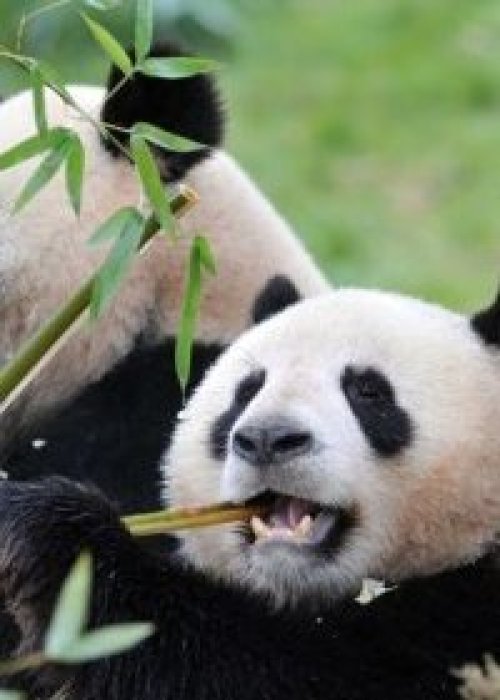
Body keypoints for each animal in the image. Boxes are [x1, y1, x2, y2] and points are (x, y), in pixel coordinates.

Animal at [0, 285, 499, 700]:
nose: (267, 438)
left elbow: (260, 672)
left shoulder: (461, 627)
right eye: (247, 391)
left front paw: (52, 531)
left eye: (369, 392)